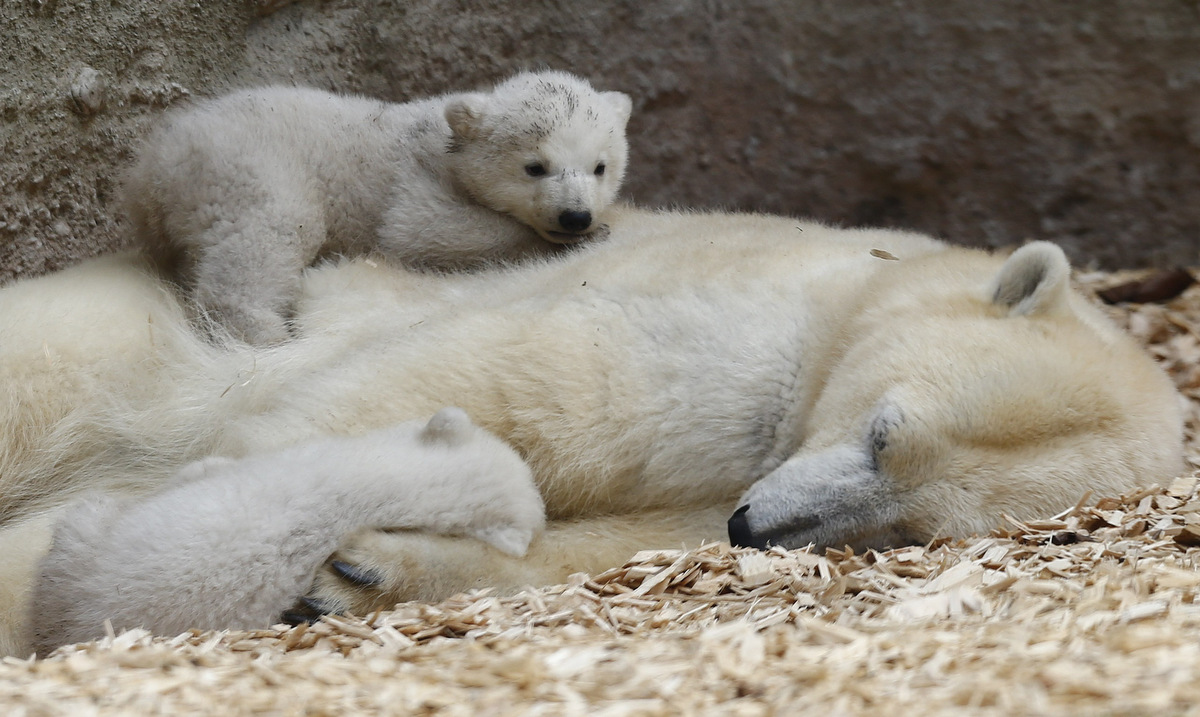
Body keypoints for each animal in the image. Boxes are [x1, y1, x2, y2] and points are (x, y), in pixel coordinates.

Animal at [0, 206, 1180, 657]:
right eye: (884, 432)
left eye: (908, 534)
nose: (756, 530)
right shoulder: (738, 330)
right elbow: (503, 390)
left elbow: (617, 538)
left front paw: (359, 571)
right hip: (119, 336)